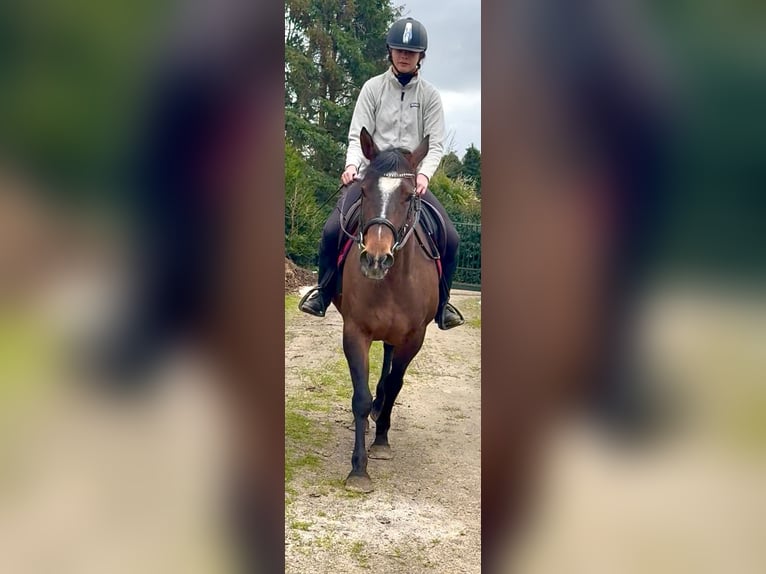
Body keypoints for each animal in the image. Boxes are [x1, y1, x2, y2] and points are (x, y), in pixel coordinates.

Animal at [332, 127, 440, 493]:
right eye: (363, 190)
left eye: (408, 196)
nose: (376, 259)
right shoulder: (355, 332)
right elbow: (360, 397)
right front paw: (358, 469)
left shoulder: (415, 337)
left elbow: (394, 385)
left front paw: (380, 442)